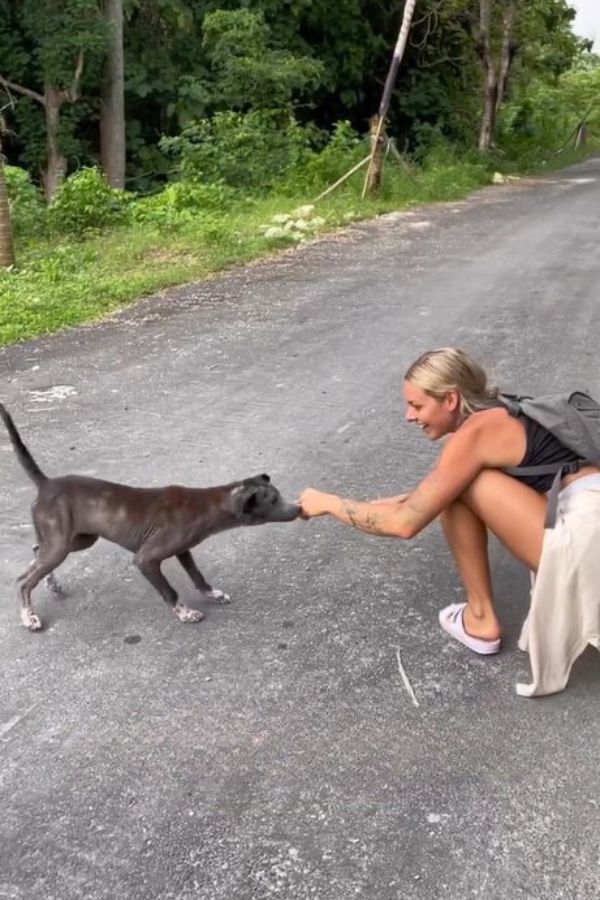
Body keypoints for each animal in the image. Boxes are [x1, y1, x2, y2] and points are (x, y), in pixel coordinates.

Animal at [0, 404, 300, 628]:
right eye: (274, 500)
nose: (299, 509)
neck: (207, 503)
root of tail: (46, 483)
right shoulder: (146, 559)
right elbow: (170, 590)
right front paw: (185, 613)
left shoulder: (183, 550)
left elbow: (197, 576)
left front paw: (212, 594)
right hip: (62, 543)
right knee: (24, 582)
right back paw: (29, 616)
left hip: (78, 538)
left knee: (37, 552)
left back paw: (50, 582)